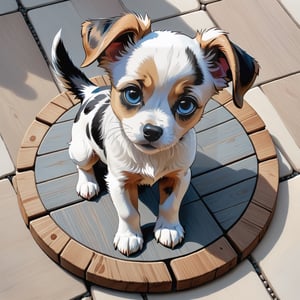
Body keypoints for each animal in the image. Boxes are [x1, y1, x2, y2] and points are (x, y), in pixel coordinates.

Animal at [51, 13, 258, 255]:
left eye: (185, 105)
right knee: (83, 165)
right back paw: (88, 183)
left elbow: (170, 204)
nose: (152, 131)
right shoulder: (119, 180)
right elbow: (128, 212)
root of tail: (91, 91)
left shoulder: (179, 175)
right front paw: (129, 236)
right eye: (132, 93)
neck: (150, 158)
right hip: (81, 150)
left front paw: (168, 229)